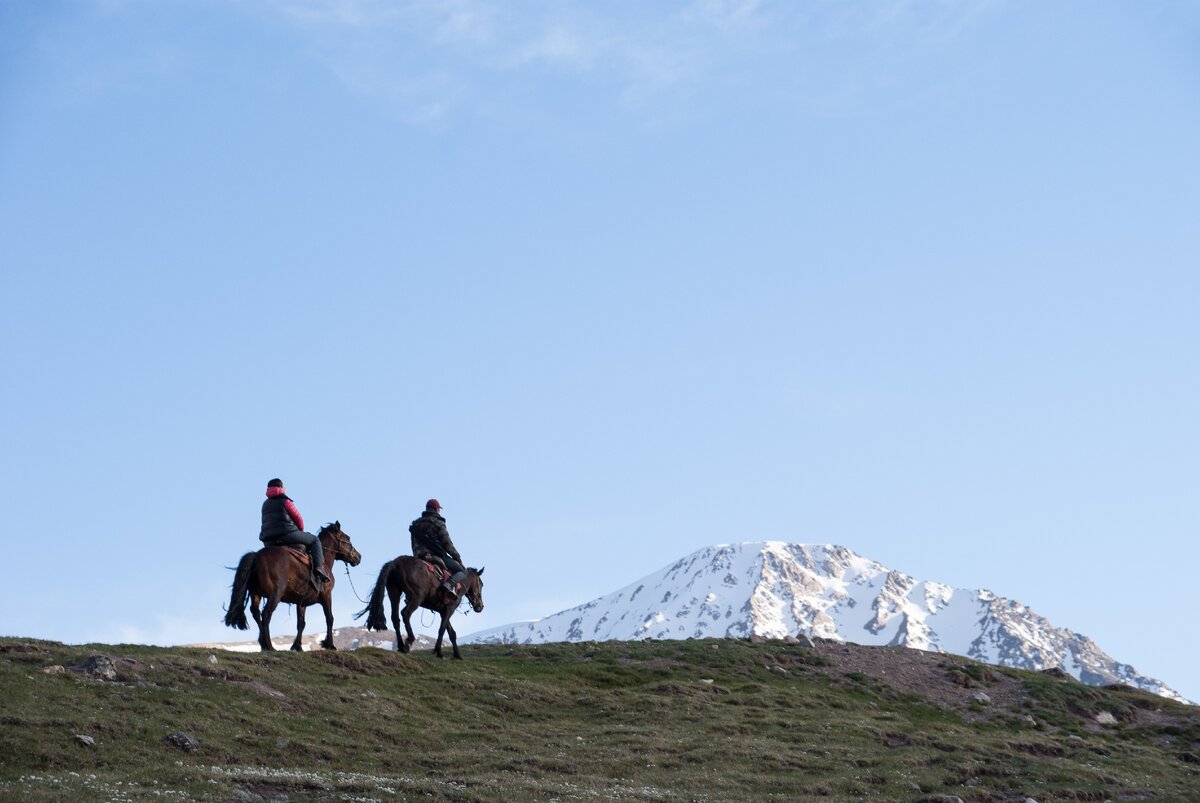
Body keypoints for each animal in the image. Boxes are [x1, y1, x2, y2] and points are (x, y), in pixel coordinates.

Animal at [223, 523, 357, 648]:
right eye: (347, 538)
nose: (358, 556)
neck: (325, 563)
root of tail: (257, 556)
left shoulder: (302, 602)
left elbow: (301, 624)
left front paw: (297, 646)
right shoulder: (326, 596)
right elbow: (330, 618)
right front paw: (329, 644)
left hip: (255, 593)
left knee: (256, 613)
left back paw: (263, 643)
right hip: (275, 594)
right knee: (266, 614)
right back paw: (269, 646)